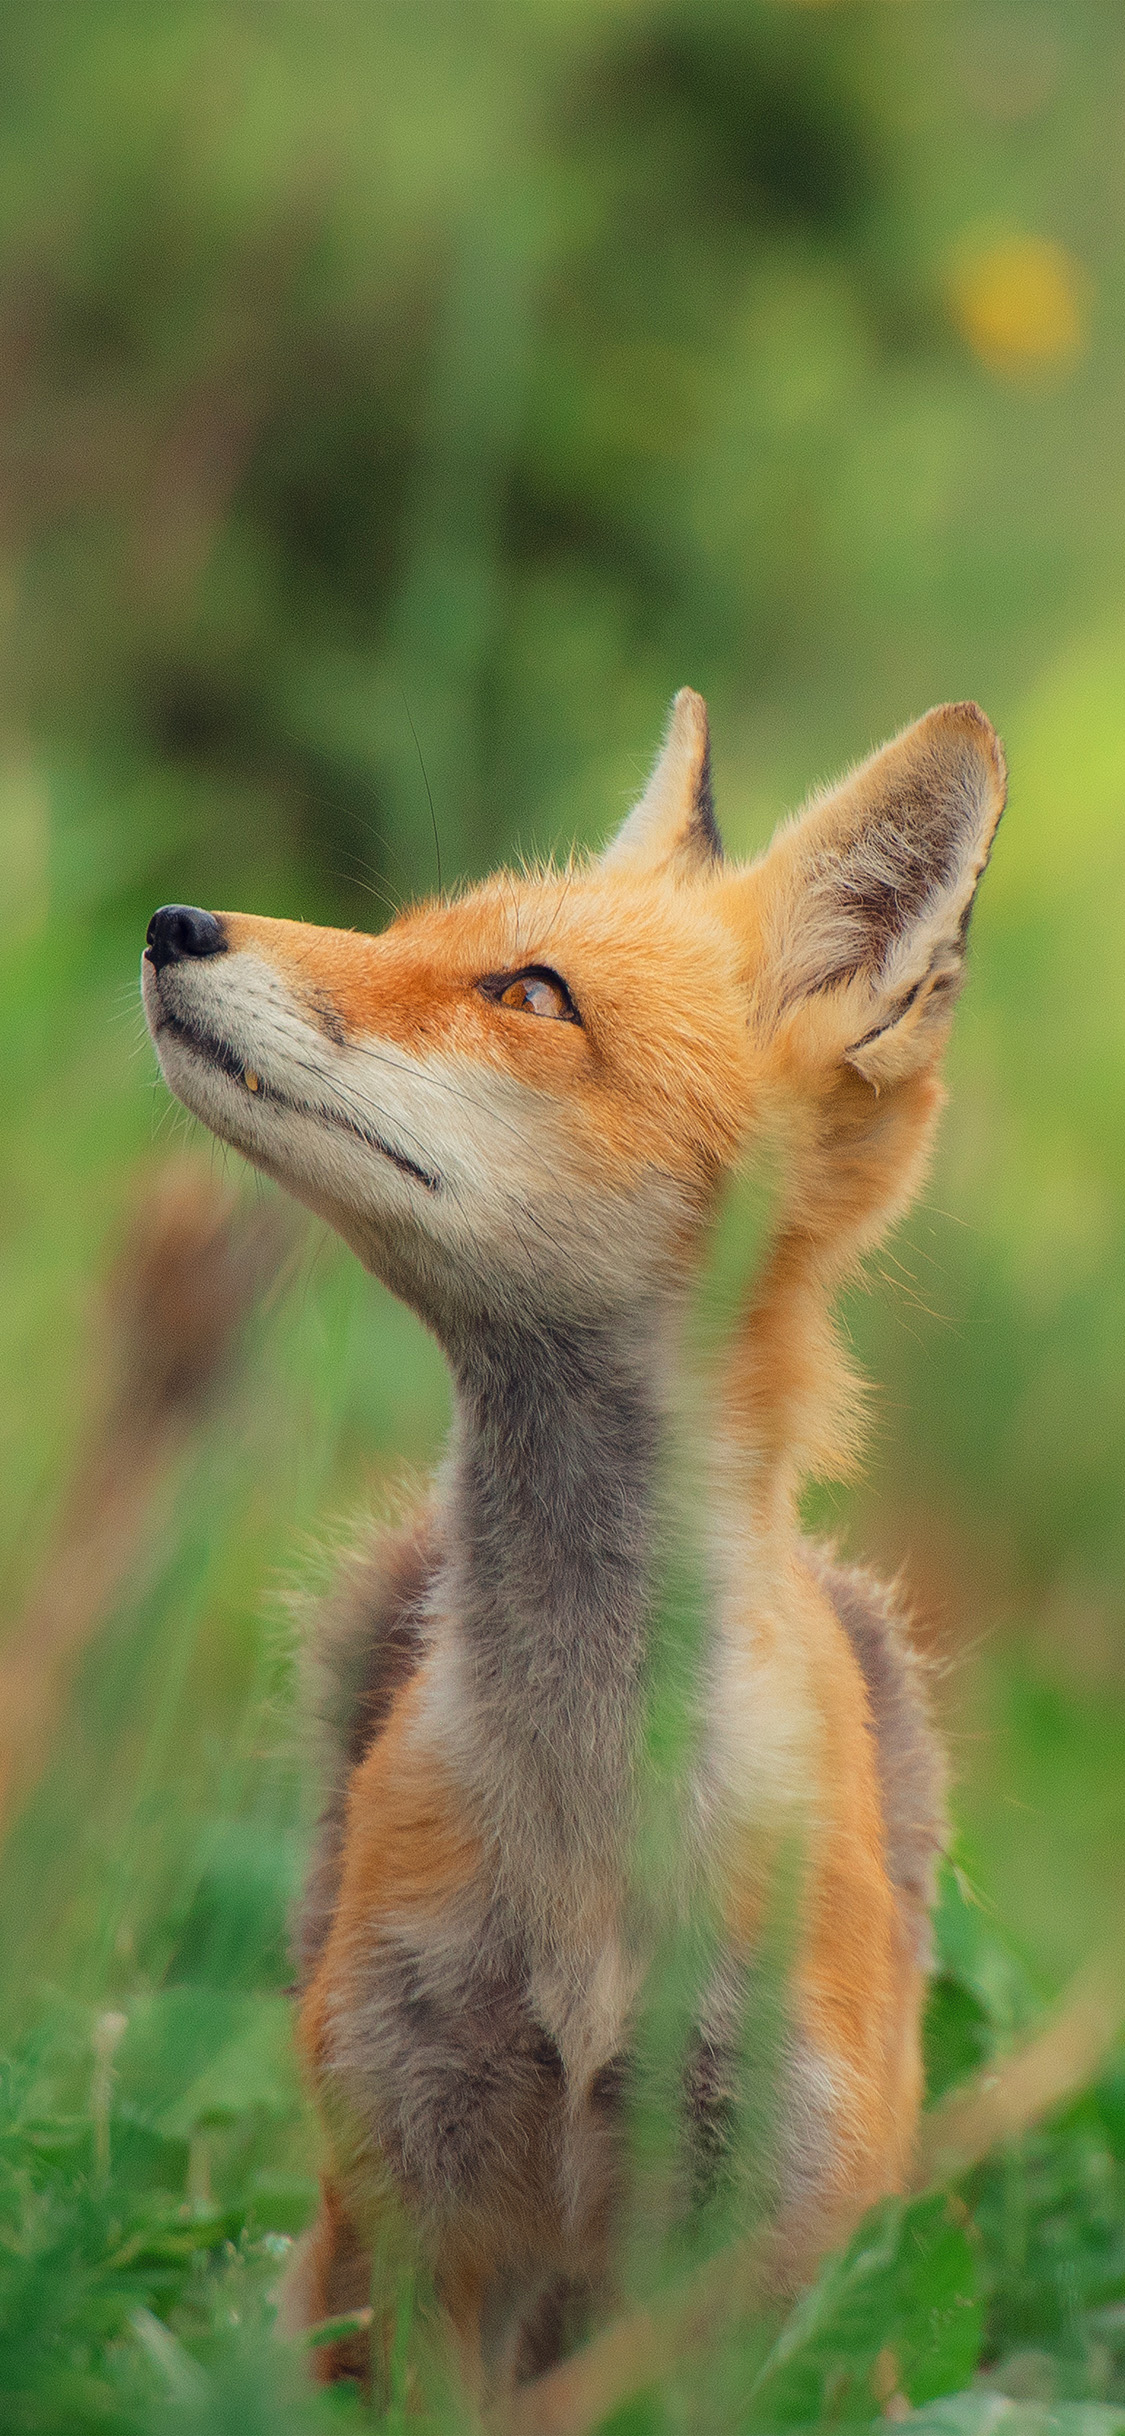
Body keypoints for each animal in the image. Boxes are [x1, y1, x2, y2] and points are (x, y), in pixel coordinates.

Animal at [141, 691, 1005, 2395]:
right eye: (405, 932)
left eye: (529, 994)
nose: (173, 922)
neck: (591, 1831)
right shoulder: (417, 2210)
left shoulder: (748, 2258)